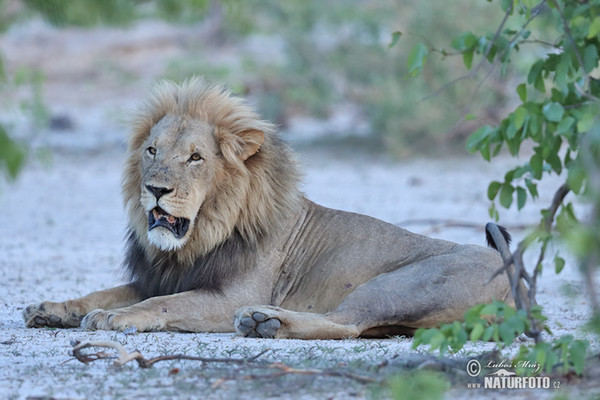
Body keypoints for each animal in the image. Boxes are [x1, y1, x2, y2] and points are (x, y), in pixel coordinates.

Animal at [23, 77, 520, 338]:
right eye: (151, 150)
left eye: (195, 158)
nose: (155, 189)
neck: (201, 234)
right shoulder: (158, 275)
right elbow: (107, 291)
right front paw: (54, 307)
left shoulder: (227, 294)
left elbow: (165, 303)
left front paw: (116, 318)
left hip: (395, 286)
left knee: (347, 323)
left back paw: (264, 321)